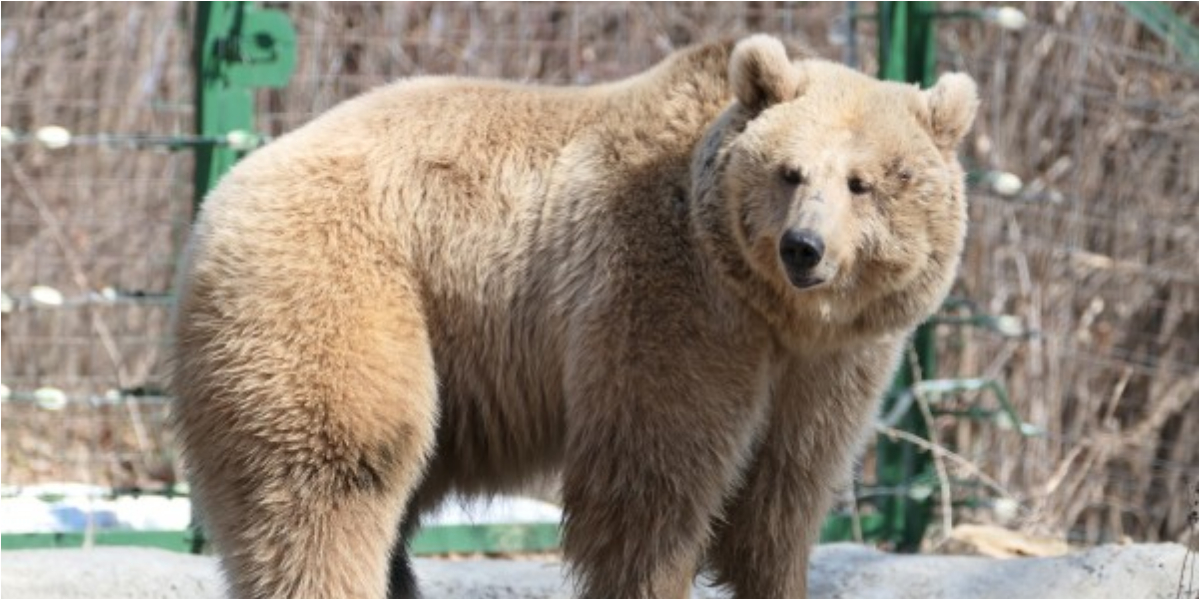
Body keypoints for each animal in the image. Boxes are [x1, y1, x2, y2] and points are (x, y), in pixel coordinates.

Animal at [171, 34, 977, 598]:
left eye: (864, 182)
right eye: (789, 172)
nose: (803, 248)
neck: (772, 310)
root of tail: (220, 196)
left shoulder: (830, 369)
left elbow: (781, 500)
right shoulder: (667, 296)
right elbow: (650, 485)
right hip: (338, 285)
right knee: (332, 474)